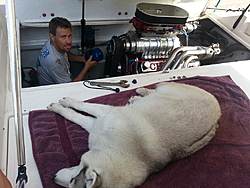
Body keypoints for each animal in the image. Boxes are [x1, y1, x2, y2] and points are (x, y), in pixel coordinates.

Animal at [48, 82, 221, 188]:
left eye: (71, 181)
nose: (53, 178)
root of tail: (218, 113)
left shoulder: (100, 121)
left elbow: (77, 115)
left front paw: (60, 107)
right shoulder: (105, 115)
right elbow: (82, 106)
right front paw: (64, 103)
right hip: (168, 89)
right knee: (155, 90)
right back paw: (139, 93)